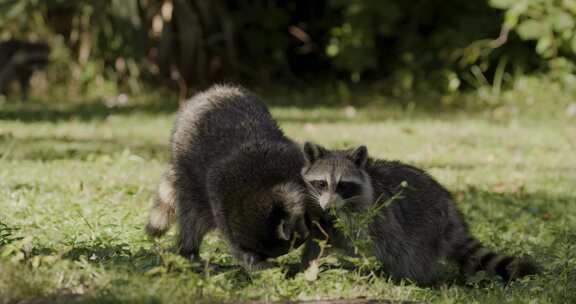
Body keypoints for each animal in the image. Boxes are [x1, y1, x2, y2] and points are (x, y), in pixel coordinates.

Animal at [148, 85, 310, 270]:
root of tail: (209, 92)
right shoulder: (220, 189)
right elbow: (226, 231)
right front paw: (252, 261)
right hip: (187, 167)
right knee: (192, 215)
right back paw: (189, 250)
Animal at [300, 142, 536, 284]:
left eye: (343, 185)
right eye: (321, 183)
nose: (328, 206)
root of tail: (451, 209)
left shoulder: (372, 217)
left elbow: (369, 247)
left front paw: (364, 271)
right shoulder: (321, 217)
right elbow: (318, 242)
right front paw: (308, 268)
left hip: (427, 230)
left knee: (409, 255)